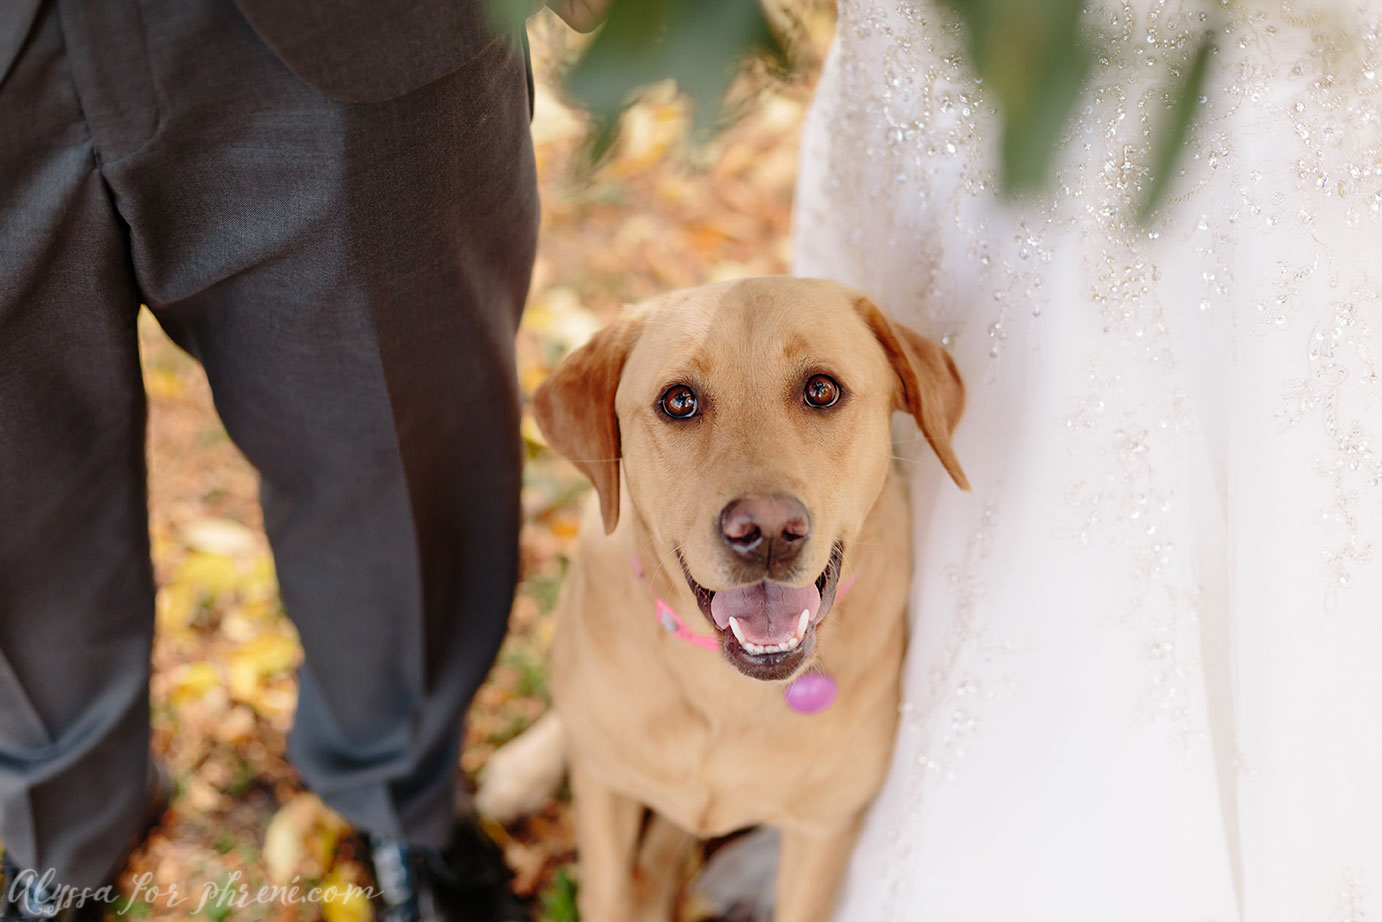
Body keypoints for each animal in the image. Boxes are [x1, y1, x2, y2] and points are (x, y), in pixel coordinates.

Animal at [519, 279, 961, 922]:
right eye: (679, 401)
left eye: (822, 390)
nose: (768, 530)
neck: (726, 692)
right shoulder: (602, 792)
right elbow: (607, 891)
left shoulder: (823, 832)